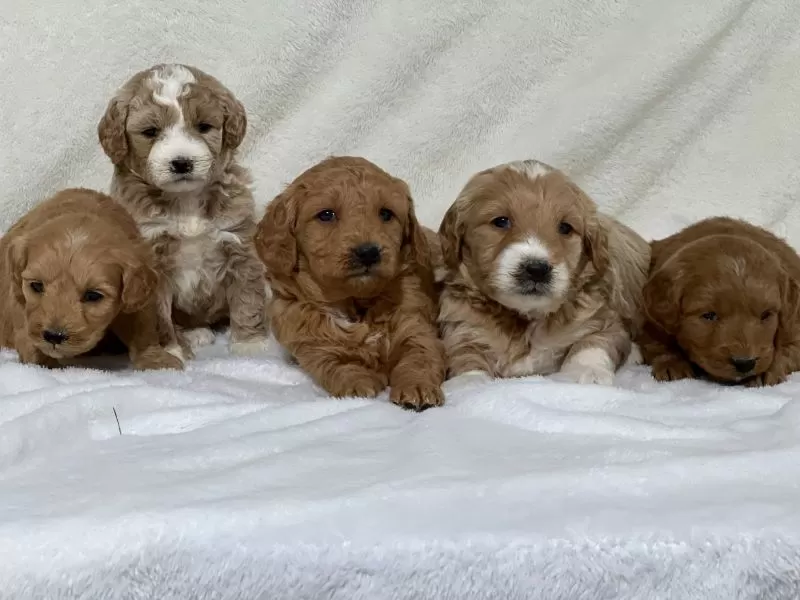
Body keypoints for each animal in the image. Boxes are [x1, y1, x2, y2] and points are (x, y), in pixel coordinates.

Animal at [0, 188, 183, 370]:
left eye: (93, 296)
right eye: (36, 286)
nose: (54, 336)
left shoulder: (137, 297)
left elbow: (143, 327)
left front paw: (155, 359)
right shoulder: (19, 298)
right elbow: (26, 331)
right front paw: (44, 362)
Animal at [97, 63, 268, 364]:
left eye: (203, 127)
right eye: (151, 131)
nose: (182, 162)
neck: (185, 201)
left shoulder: (238, 243)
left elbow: (247, 295)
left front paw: (250, 343)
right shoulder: (151, 258)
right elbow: (157, 315)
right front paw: (169, 350)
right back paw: (192, 334)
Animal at [255, 155, 446, 410]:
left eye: (386, 214)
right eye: (326, 215)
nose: (368, 252)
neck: (357, 305)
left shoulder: (417, 327)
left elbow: (419, 357)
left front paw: (417, 387)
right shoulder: (313, 345)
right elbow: (338, 366)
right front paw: (357, 386)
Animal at [438, 159, 648, 386]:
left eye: (565, 227)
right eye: (501, 221)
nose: (537, 270)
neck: (527, 319)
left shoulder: (603, 320)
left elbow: (592, 344)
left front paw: (588, 372)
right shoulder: (462, 326)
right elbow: (466, 356)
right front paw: (470, 383)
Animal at [640, 218, 800, 386]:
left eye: (766, 315)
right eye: (709, 315)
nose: (745, 363)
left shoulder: (794, 325)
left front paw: (763, 372)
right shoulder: (650, 324)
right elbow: (658, 344)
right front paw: (672, 364)